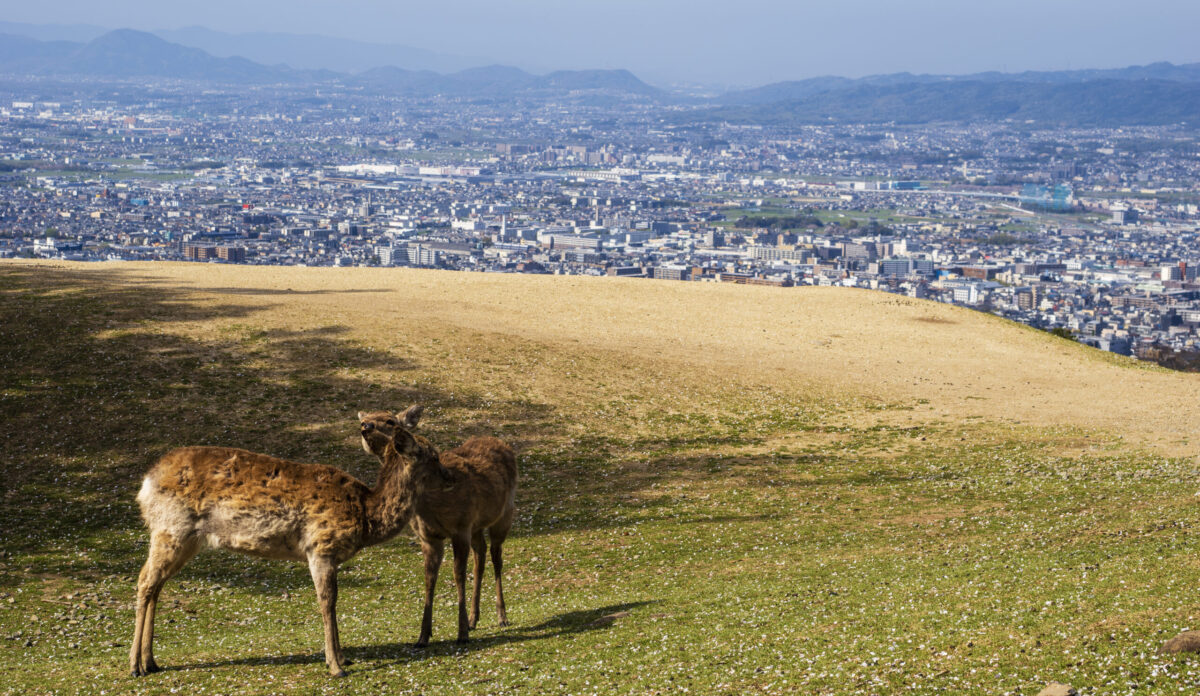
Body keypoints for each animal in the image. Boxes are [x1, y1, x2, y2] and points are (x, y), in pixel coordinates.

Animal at [126, 429, 424, 681]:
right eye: (424, 448)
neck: (365, 516)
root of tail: (146, 484)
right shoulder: (320, 547)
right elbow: (328, 601)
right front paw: (336, 666)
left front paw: (343, 658)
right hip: (170, 528)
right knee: (145, 581)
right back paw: (135, 666)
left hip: (186, 540)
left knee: (156, 584)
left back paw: (151, 662)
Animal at [352, 408, 513, 648]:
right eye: (364, 419)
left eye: (390, 421)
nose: (366, 427)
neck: (429, 505)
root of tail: (501, 441)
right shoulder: (429, 536)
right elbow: (429, 579)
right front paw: (423, 636)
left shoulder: (461, 527)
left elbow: (458, 574)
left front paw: (461, 633)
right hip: (477, 525)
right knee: (480, 555)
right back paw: (474, 618)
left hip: (505, 514)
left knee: (496, 557)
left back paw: (502, 616)